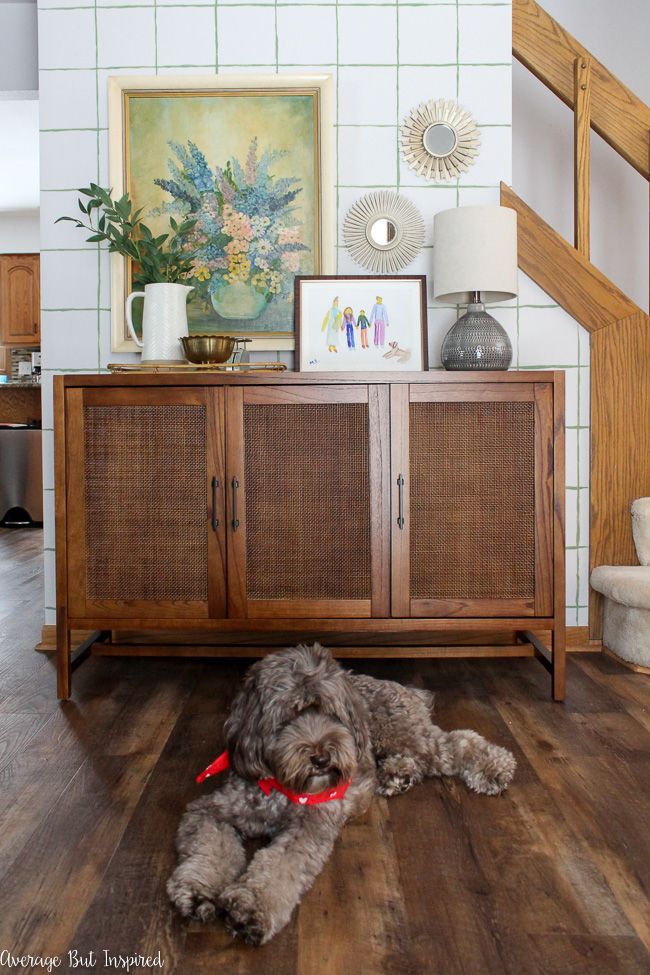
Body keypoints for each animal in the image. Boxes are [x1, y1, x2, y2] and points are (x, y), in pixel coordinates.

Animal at [167, 644, 516, 940]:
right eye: (287, 718)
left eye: (330, 714)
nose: (322, 758)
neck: (281, 788)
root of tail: (402, 688)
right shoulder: (210, 810)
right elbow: (210, 849)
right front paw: (198, 891)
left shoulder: (310, 827)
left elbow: (277, 867)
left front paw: (249, 908)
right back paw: (397, 775)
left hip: (401, 732)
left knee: (456, 743)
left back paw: (494, 767)